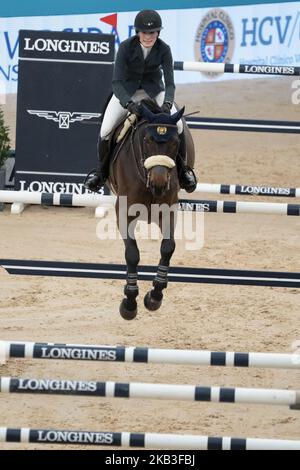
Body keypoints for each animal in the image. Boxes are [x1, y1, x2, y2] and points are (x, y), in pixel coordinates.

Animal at [108, 100, 195, 320]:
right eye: (147, 140)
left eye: (175, 142)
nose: (159, 182)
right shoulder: (124, 212)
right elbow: (132, 253)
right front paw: (129, 303)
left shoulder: (169, 210)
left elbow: (168, 247)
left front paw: (155, 296)